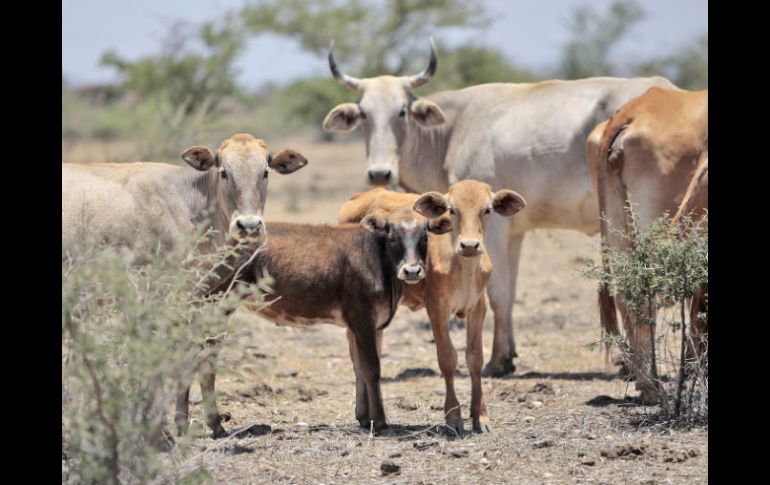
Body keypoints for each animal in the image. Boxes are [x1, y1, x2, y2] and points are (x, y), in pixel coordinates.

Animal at [178, 208, 450, 434]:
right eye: (392, 235)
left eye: (425, 235)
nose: (412, 271)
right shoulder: (362, 318)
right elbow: (372, 368)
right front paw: (381, 422)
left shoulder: (366, 326)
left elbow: (359, 368)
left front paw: (364, 417)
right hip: (212, 308)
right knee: (196, 360)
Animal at [320, 39, 676, 376]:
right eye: (363, 114)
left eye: (401, 112)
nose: (380, 173)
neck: (453, 129)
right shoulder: (515, 232)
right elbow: (510, 293)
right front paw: (510, 353)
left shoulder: (495, 230)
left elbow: (498, 294)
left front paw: (498, 360)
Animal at [340, 179, 524, 432]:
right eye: (452, 210)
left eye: (487, 210)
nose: (469, 245)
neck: (462, 267)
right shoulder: (436, 308)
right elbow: (447, 358)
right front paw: (454, 417)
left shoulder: (478, 307)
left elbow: (475, 358)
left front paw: (481, 416)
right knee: (357, 358)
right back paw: (363, 412)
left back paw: (370, 414)